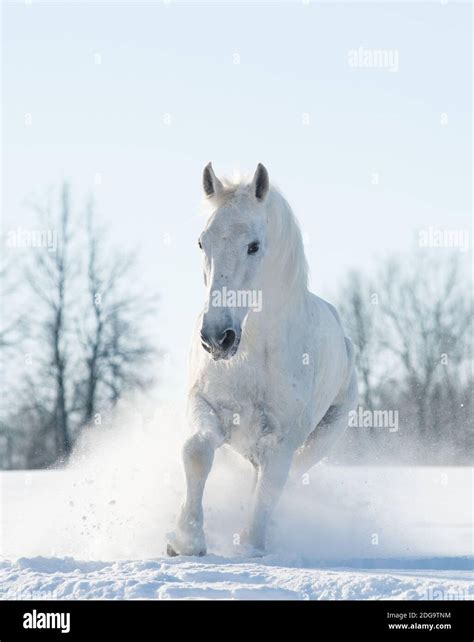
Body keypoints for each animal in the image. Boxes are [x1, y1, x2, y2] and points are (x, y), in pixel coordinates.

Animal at [167, 161, 356, 556]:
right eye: (202, 242)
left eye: (254, 246)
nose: (216, 337)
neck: (254, 353)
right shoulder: (204, 405)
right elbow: (197, 452)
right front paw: (186, 541)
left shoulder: (281, 440)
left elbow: (269, 488)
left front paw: (250, 549)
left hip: (322, 438)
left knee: (287, 480)